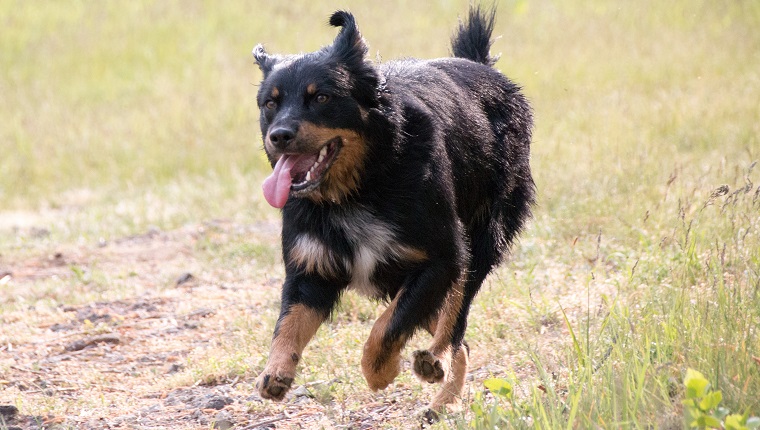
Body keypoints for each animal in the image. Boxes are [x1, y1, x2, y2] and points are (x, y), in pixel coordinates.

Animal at [251, 5, 536, 410]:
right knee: (460, 338)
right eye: (270, 104)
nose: (279, 136)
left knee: (455, 320)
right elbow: (289, 322)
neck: (360, 188)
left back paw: (435, 364)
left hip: (481, 244)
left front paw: (379, 371)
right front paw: (276, 371)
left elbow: (389, 325)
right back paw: (441, 399)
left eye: (321, 98)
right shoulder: (312, 268)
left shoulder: (442, 259)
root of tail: (480, 66)